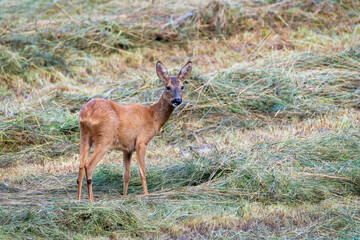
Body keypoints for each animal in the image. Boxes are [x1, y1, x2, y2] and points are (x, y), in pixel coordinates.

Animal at [77, 60, 193, 202]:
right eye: (168, 87)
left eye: (182, 86)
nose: (177, 100)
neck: (153, 116)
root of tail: (86, 114)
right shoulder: (141, 142)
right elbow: (142, 172)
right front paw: (147, 195)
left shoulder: (127, 148)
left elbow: (126, 175)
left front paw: (124, 196)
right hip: (105, 137)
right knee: (88, 165)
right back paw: (92, 201)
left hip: (84, 136)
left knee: (80, 165)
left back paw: (78, 200)